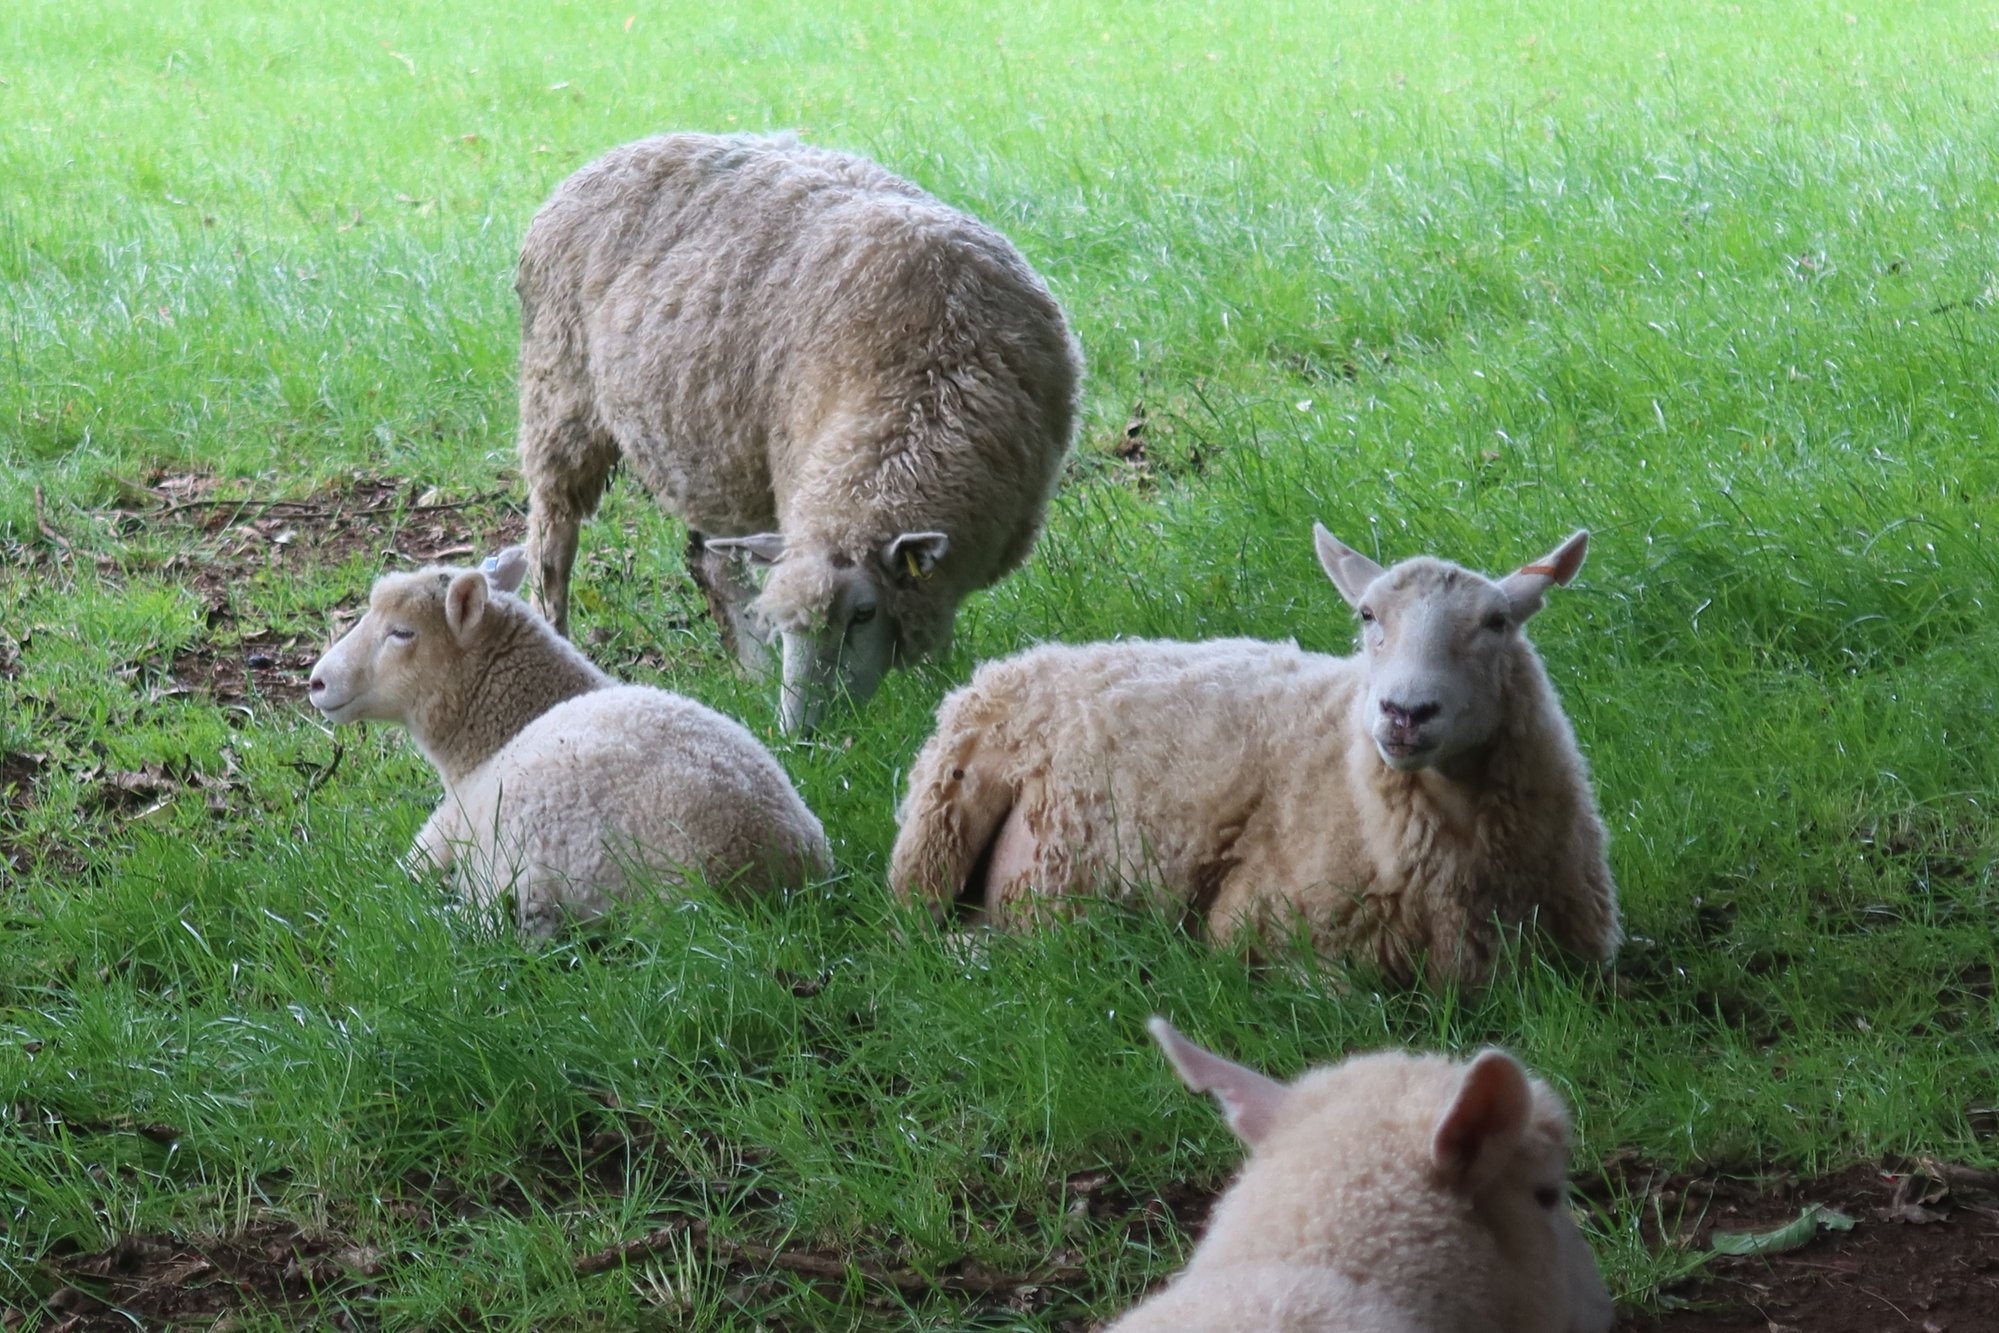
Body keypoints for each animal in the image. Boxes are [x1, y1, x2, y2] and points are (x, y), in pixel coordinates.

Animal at [515, 131, 1083, 735]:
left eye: (864, 615)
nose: (799, 739)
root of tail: (607, 157)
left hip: (708, 448)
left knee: (711, 562)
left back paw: (754, 674)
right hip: (559, 400)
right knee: (550, 544)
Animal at [888, 525, 1619, 984]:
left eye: (1497, 623)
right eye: (1366, 616)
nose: (1405, 712)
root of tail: (1023, 659)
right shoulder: (1264, 932)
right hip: (936, 837)